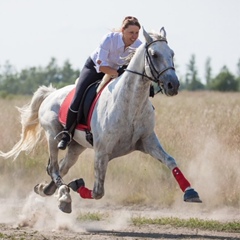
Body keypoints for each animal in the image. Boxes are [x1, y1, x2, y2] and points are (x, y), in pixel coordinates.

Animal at [0, 27, 202, 214]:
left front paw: (191, 192)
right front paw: (76, 185)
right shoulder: (101, 152)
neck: (130, 105)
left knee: (60, 168)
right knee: (55, 168)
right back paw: (64, 197)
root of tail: (50, 94)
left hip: (76, 146)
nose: (173, 85)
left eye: (172, 54)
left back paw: (47, 190)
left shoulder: (147, 141)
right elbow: (98, 192)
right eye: (154, 54)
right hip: (53, 135)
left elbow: (170, 161)